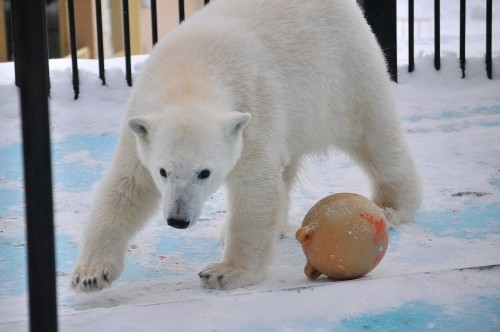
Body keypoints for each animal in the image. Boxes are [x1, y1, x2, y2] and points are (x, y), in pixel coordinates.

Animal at [72, 0, 420, 290]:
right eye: (163, 171)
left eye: (204, 172)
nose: (177, 220)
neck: (191, 72)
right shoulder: (141, 120)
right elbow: (127, 186)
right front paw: (90, 274)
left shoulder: (253, 103)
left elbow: (256, 187)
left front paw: (224, 272)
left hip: (344, 69)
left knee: (375, 134)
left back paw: (392, 206)